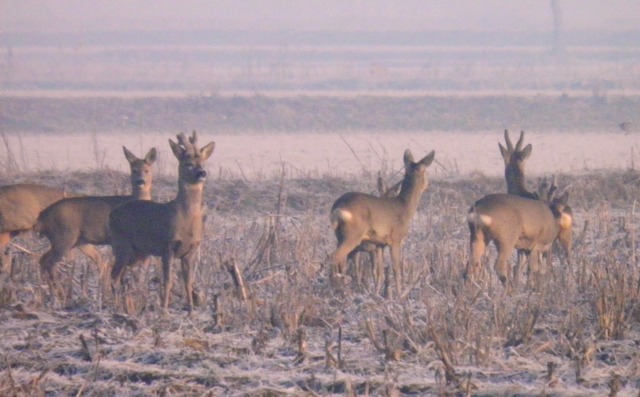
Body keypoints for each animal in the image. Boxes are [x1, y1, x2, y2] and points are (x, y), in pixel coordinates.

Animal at [35, 147, 157, 298]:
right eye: (134, 170)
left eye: (147, 170)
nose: (141, 181)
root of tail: (43, 215)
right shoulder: (118, 241)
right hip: (64, 236)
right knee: (49, 262)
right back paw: (60, 293)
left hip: (71, 240)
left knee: (42, 259)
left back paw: (47, 291)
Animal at [110, 131, 215, 314]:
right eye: (188, 164)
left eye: (202, 162)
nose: (202, 173)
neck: (186, 220)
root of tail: (112, 214)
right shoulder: (167, 246)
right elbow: (168, 280)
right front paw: (164, 310)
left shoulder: (191, 250)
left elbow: (188, 281)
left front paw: (190, 311)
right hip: (121, 246)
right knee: (114, 276)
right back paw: (115, 307)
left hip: (137, 252)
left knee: (121, 276)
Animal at [330, 148, 436, 294]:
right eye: (426, 171)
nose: (429, 184)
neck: (405, 206)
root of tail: (338, 208)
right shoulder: (396, 239)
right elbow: (396, 269)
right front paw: (399, 294)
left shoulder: (379, 244)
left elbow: (379, 272)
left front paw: (377, 293)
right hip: (353, 235)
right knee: (334, 257)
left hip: (340, 236)